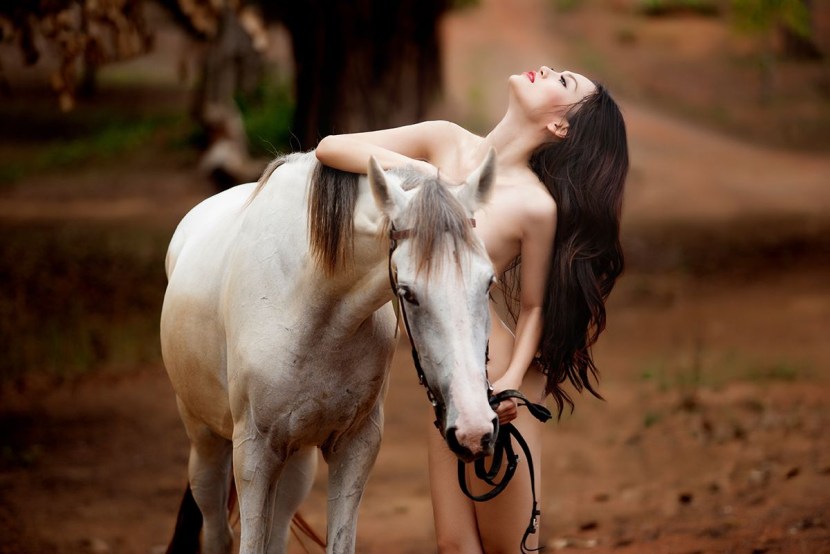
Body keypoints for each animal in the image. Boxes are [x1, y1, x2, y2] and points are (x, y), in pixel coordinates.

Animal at [160, 149, 500, 553]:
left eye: (489, 282)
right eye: (407, 292)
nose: (474, 430)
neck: (313, 305)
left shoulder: (356, 445)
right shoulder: (252, 452)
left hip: (295, 459)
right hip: (206, 442)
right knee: (217, 533)